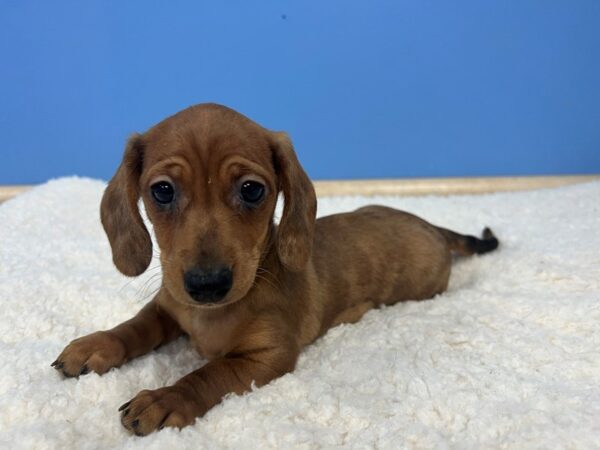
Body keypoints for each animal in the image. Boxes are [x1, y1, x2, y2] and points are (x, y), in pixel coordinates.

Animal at [52, 103, 496, 434]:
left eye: (252, 190)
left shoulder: (267, 358)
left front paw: (166, 397)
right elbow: (135, 327)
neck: (209, 316)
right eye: (162, 191)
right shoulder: (166, 307)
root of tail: (430, 226)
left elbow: (209, 373)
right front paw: (96, 345)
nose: (207, 285)